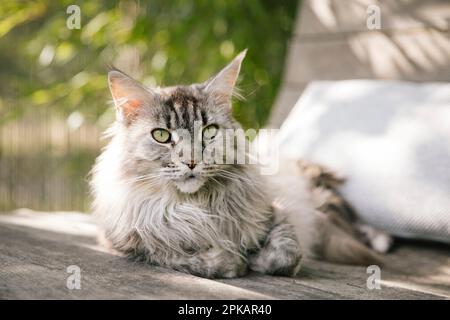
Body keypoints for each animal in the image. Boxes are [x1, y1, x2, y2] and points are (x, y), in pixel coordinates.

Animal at [89, 49, 392, 278]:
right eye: (162, 136)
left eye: (209, 131)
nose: (191, 161)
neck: (194, 206)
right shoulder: (132, 245)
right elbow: (186, 258)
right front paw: (234, 260)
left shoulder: (275, 212)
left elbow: (287, 255)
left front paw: (257, 258)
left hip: (326, 204)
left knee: (356, 225)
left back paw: (381, 241)